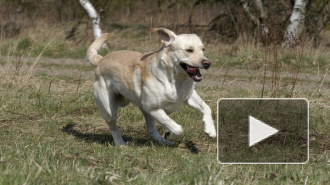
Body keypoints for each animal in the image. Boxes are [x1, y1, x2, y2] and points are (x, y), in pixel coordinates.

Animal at [86, 28, 217, 145]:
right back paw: (120, 144)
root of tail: (101, 60)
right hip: (108, 109)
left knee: (151, 130)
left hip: (145, 112)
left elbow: (206, 107)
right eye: (189, 50)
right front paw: (170, 134)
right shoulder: (154, 109)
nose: (207, 63)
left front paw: (210, 130)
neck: (175, 79)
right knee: (113, 126)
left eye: (203, 49)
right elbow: (177, 128)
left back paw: (164, 142)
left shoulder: (188, 96)